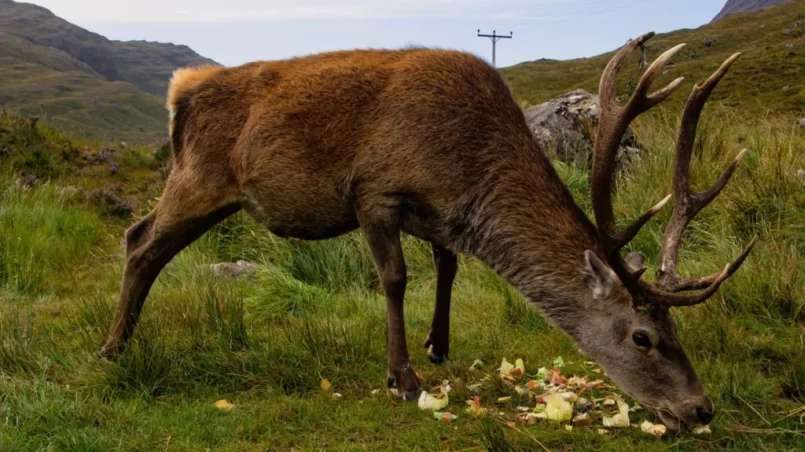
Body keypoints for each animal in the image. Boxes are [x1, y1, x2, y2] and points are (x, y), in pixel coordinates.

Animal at [99, 32, 752, 430]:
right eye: (643, 336)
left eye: (674, 329)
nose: (700, 409)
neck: (467, 169)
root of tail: (180, 91)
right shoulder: (374, 190)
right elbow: (394, 278)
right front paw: (403, 377)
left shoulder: (438, 216)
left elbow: (447, 265)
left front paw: (438, 345)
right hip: (199, 176)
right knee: (139, 239)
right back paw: (112, 348)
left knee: (148, 244)